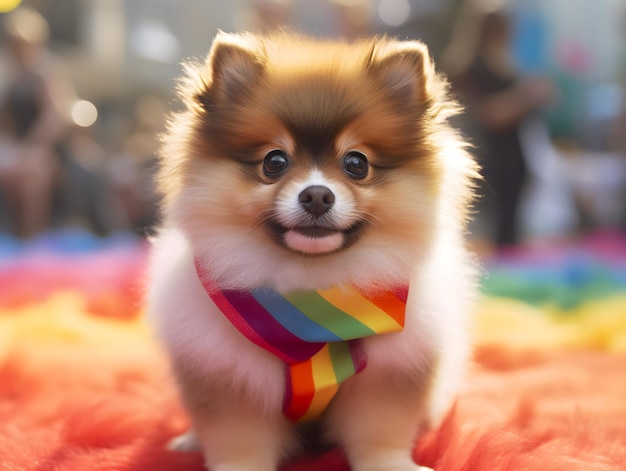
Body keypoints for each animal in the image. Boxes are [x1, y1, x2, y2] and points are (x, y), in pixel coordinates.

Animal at [150, 30, 478, 471]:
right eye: (274, 161)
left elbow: (380, 433)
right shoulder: (228, 378)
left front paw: (390, 463)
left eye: (357, 163)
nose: (318, 194)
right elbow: (238, 440)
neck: (312, 286)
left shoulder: (388, 377)